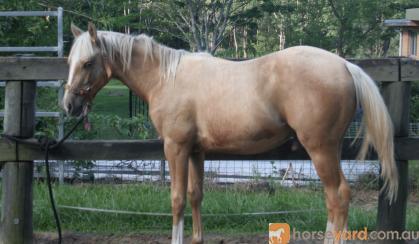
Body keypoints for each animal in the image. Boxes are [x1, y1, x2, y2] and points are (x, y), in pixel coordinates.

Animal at [64, 22, 398, 242]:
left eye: (88, 62)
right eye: (70, 61)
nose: (69, 105)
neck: (165, 78)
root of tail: (344, 65)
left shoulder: (176, 148)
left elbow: (177, 199)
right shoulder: (197, 151)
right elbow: (195, 195)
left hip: (320, 149)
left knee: (337, 197)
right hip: (331, 148)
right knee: (339, 197)